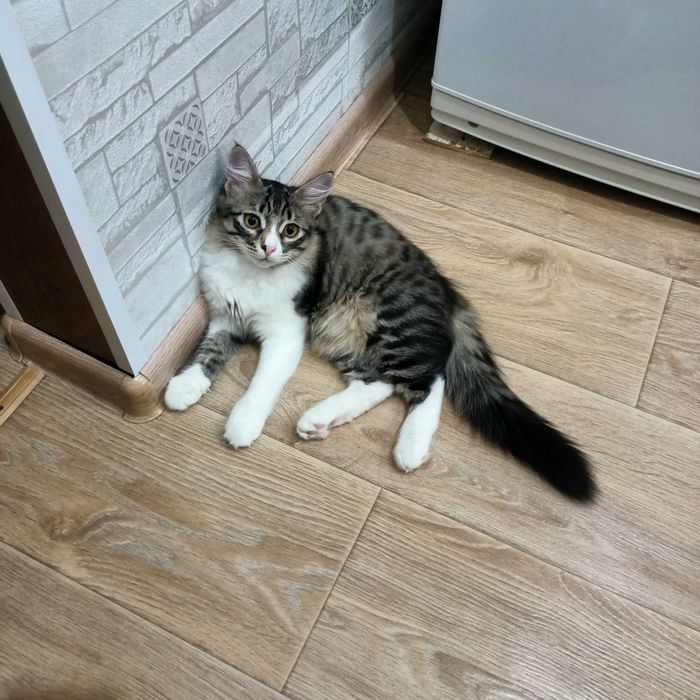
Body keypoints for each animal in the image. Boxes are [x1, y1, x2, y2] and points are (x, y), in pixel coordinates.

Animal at [164, 144, 595, 500]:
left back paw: (410, 446)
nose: (269, 249)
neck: (251, 272)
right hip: (342, 330)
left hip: (388, 321)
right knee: (379, 381)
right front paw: (184, 386)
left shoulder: (287, 332)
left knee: (430, 379)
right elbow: (208, 352)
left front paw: (243, 422)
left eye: (290, 230)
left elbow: (261, 383)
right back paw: (320, 419)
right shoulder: (225, 315)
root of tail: (446, 288)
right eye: (252, 221)